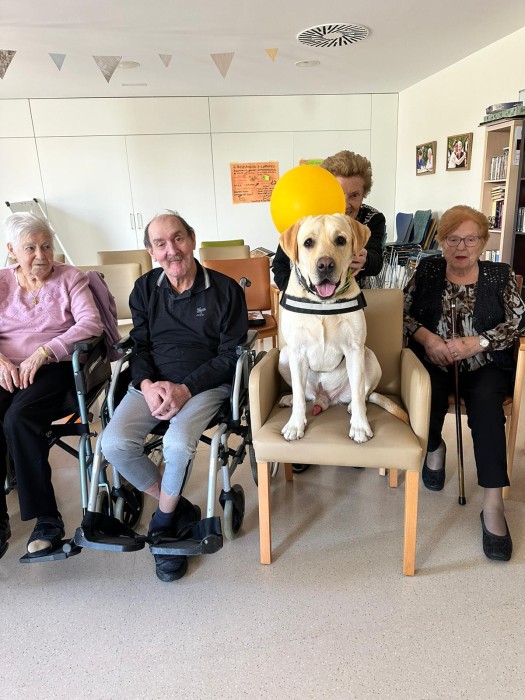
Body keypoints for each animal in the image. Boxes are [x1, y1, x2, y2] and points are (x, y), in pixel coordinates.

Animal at [277, 213, 408, 443]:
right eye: (308, 243)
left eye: (340, 240)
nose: (325, 265)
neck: (322, 304)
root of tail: (324, 399)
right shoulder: (296, 351)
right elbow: (300, 395)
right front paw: (295, 424)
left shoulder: (354, 349)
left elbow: (357, 392)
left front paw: (360, 426)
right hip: (284, 355)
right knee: (304, 393)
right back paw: (290, 400)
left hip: (369, 356)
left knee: (362, 394)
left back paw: (356, 408)